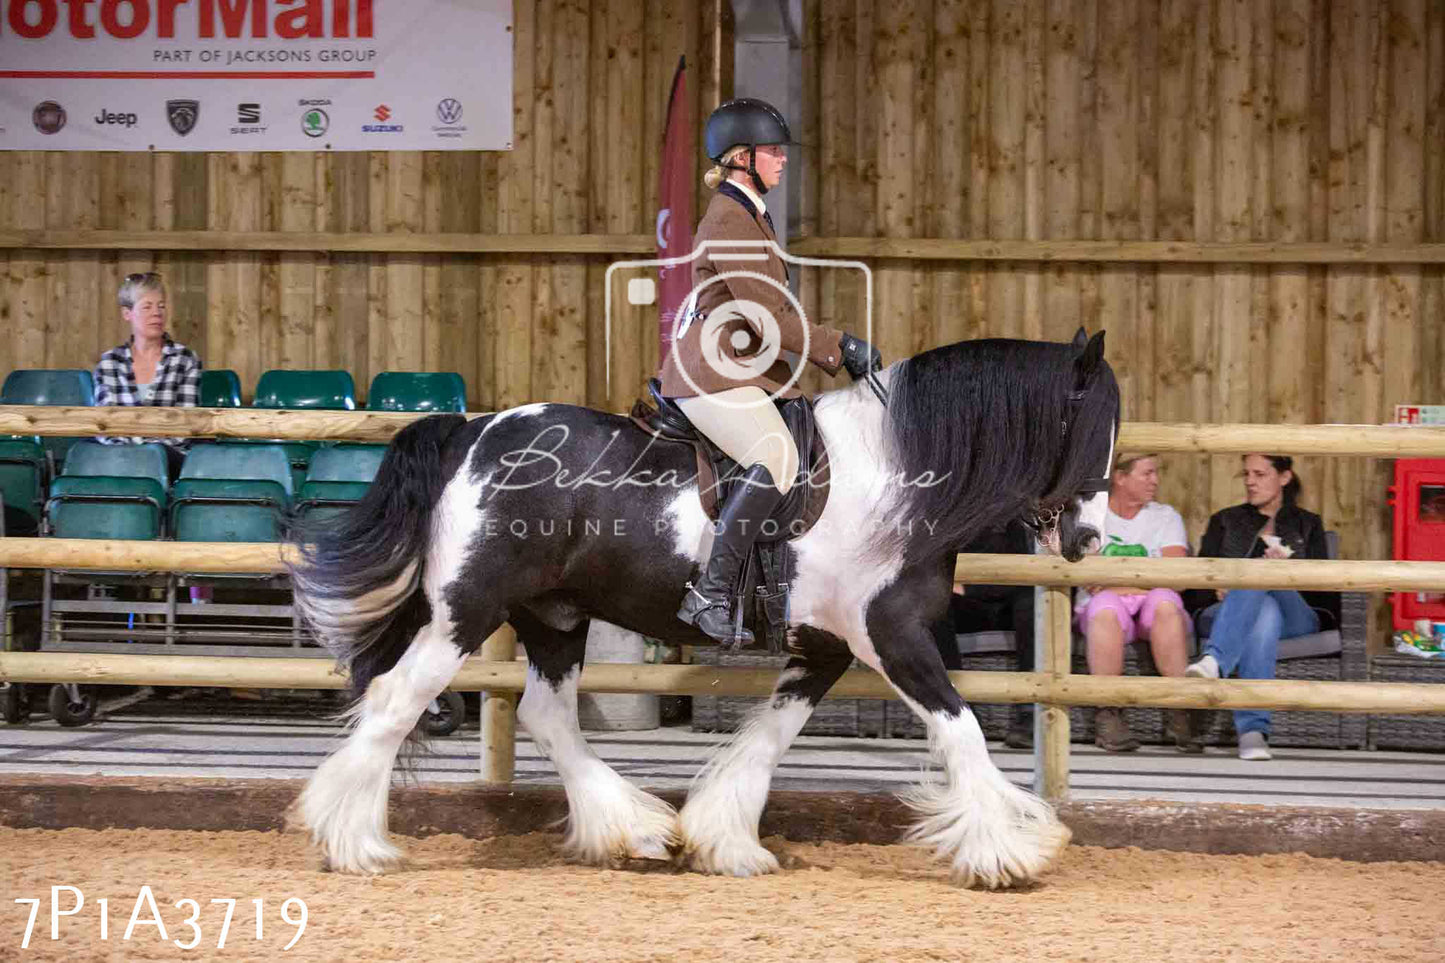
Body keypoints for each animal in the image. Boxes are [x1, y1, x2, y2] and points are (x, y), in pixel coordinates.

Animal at [284, 328, 1115, 884]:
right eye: (1092, 426)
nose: (1088, 538)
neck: (897, 479)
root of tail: (471, 431)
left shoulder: (824, 646)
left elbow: (769, 738)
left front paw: (728, 839)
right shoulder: (892, 634)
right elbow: (961, 729)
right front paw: (1007, 849)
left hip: (552, 614)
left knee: (546, 715)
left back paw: (632, 831)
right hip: (468, 608)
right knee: (396, 699)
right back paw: (352, 842)